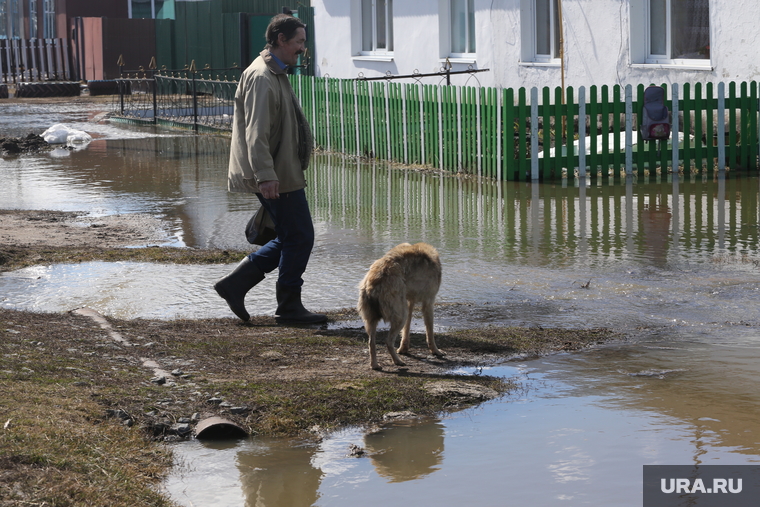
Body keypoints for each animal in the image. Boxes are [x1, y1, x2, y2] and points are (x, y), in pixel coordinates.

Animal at [358, 242, 446, 370]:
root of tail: (373, 281)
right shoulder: (429, 301)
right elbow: (430, 331)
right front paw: (436, 351)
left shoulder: (409, 302)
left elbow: (407, 329)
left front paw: (403, 348)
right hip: (400, 316)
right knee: (388, 341)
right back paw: (397, 361)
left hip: (374, 319)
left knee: (371, 343)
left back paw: (375, 365)